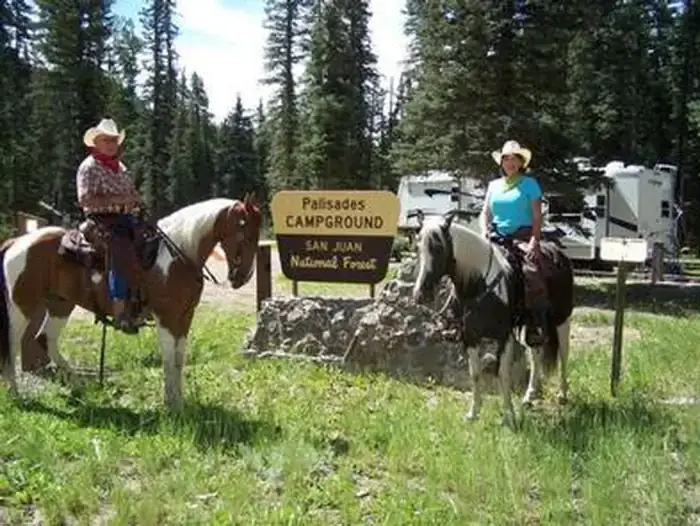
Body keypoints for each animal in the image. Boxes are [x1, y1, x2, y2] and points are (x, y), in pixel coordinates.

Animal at [0, 194, 262, 409]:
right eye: (244, 233)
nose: (243, 277)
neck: (176, 256)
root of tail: (16, 242)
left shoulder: (185, 316)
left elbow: (179, 358)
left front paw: (178, 400)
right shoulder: (166, 317)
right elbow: (169, 358)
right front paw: (171, 404)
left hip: (60, 304)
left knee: (46, 339)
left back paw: (79, 386)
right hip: (22, 306)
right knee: (12, 345)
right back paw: (15, 393)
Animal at [411, 210, 573, 427]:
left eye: (438, 247)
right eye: (418, 246)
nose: (421, 294)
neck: (481, 285)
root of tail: (559, 254)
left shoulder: (503, 336)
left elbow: (502, 374)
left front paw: (509, 415)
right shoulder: (470, 337)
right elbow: (475, 373)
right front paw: (473, 413)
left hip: (562, 320)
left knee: (564, 354)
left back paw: (562, 394)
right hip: (529, 327)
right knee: (535, 354)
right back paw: (529, 396)